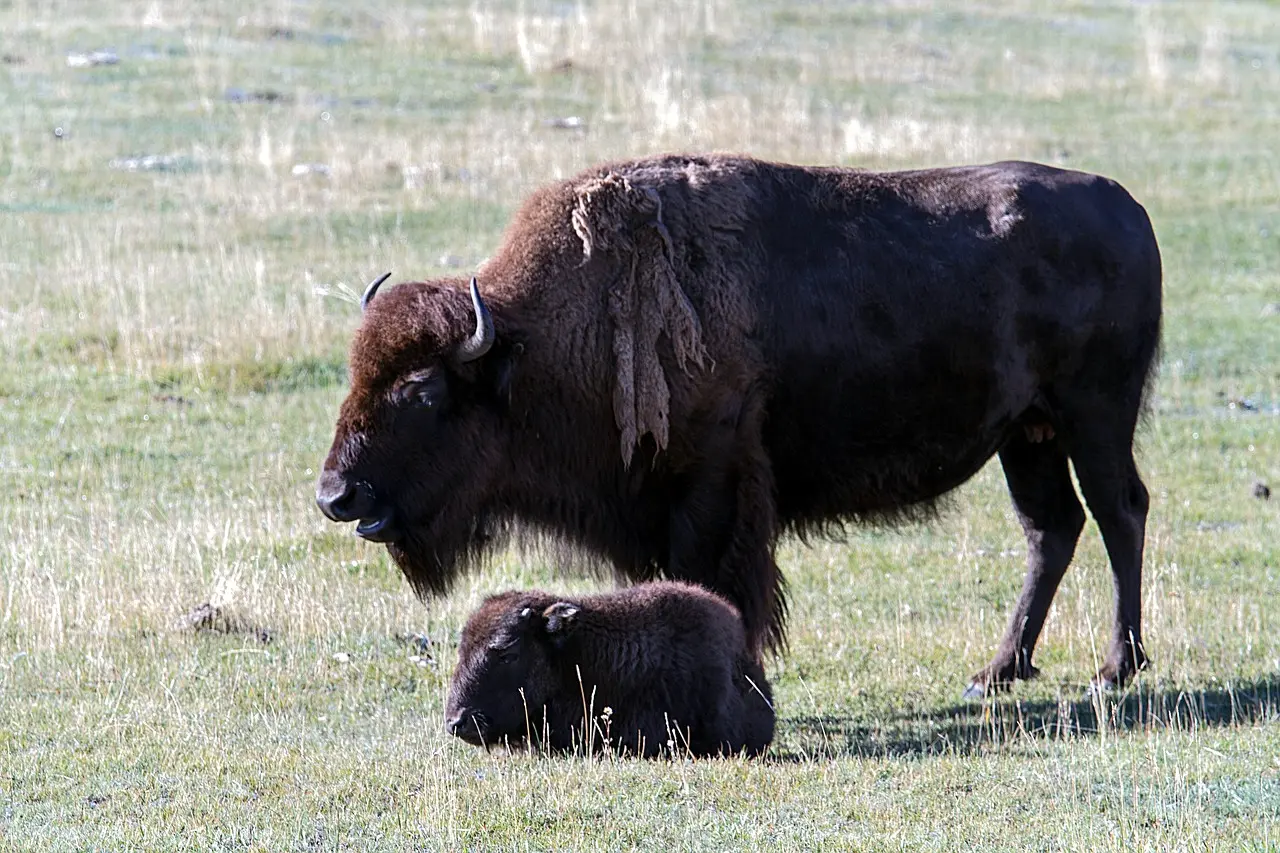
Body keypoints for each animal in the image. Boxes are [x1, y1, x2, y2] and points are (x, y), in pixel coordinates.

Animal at [316, 154, 1162, 696]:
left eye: (424, 391)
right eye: (357, 374)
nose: (336, 494)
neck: (548, 338)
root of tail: (1129, 206)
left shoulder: (713, 486)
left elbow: (716, 582)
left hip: (1093, 415)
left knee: (1119, 511)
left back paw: (1115, 667)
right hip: (1028, 435)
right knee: (1052, 528)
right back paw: (998, 671)